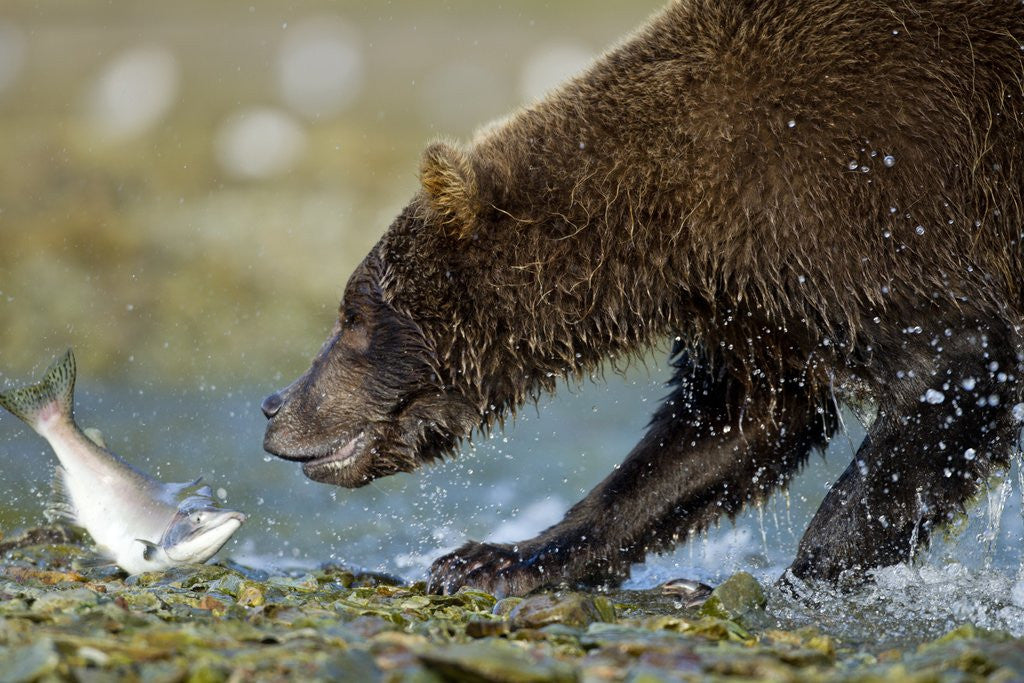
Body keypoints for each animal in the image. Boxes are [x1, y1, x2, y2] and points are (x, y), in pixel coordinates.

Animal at [261, 0, 1024, 597]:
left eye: (353, 315)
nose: (276, 405)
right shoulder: (757, 304)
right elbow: (725, 429)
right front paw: (494, 558)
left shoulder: (877, 207)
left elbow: (954, 374)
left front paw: (800, 577)